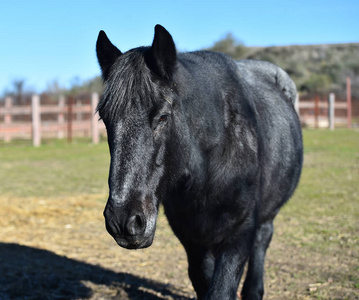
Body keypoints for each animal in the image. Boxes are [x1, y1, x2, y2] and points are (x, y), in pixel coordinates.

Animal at [95, 25, 304, 300]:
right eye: (104, 118)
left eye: (163, 116)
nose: (123, 221)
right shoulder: (191, 238)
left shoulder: (240, 233)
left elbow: (221, 290)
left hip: (265, 218)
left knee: (262, 243)